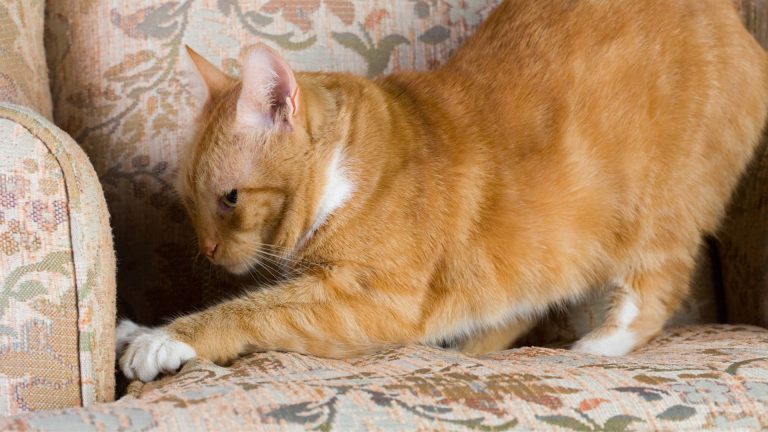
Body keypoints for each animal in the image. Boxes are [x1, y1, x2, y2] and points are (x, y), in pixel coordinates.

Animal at [115, 0, 768, 382]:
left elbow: (250, 310)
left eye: (229, 199)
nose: (207, 250)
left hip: (659, 213)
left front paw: (162, 338)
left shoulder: (371, 303)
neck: (347, 170)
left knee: (655, 286)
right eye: (189, 202)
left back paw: (597, 348)